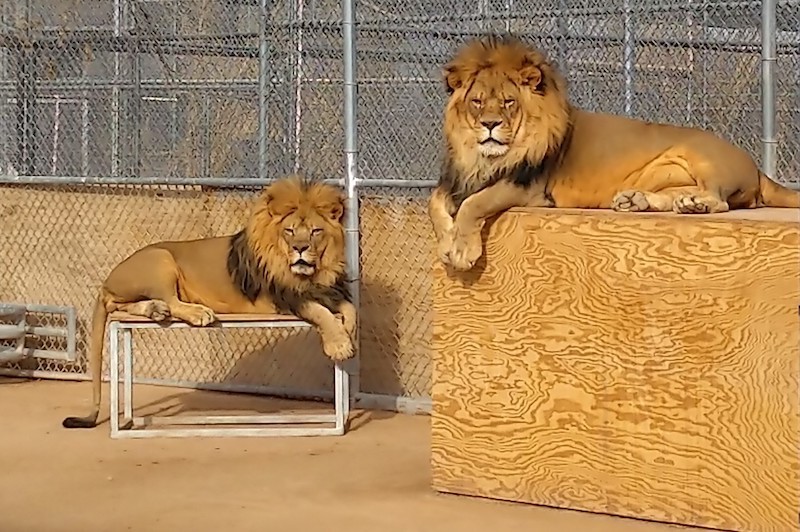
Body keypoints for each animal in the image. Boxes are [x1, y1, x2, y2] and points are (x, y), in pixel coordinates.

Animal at [62, 175, 356, 429]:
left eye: (316, 231)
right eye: (290, 231)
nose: (300, 249)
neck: (312, 274)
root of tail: (107, 281)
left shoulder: (326, 290)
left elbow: (348, 308)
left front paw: (349, 331)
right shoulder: (285, 297)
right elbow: (320, 313)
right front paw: (339, 345)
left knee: (123, 305)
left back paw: (156, 310)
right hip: (161, 259)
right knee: (169, 301)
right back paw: (195, 313)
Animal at [429, 33, 800, 272]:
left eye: (508, 102)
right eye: (478, 102)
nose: (489, 124)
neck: (487, 157)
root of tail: (757, 168)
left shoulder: (529, 187)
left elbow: (475, 204)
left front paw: (462, 251)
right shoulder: (458, 179)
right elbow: (436, 202)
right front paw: (447, 242)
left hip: (701, 156)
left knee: (720, 200)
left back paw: (696, 204)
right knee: (677, 195)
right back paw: (642, 201)